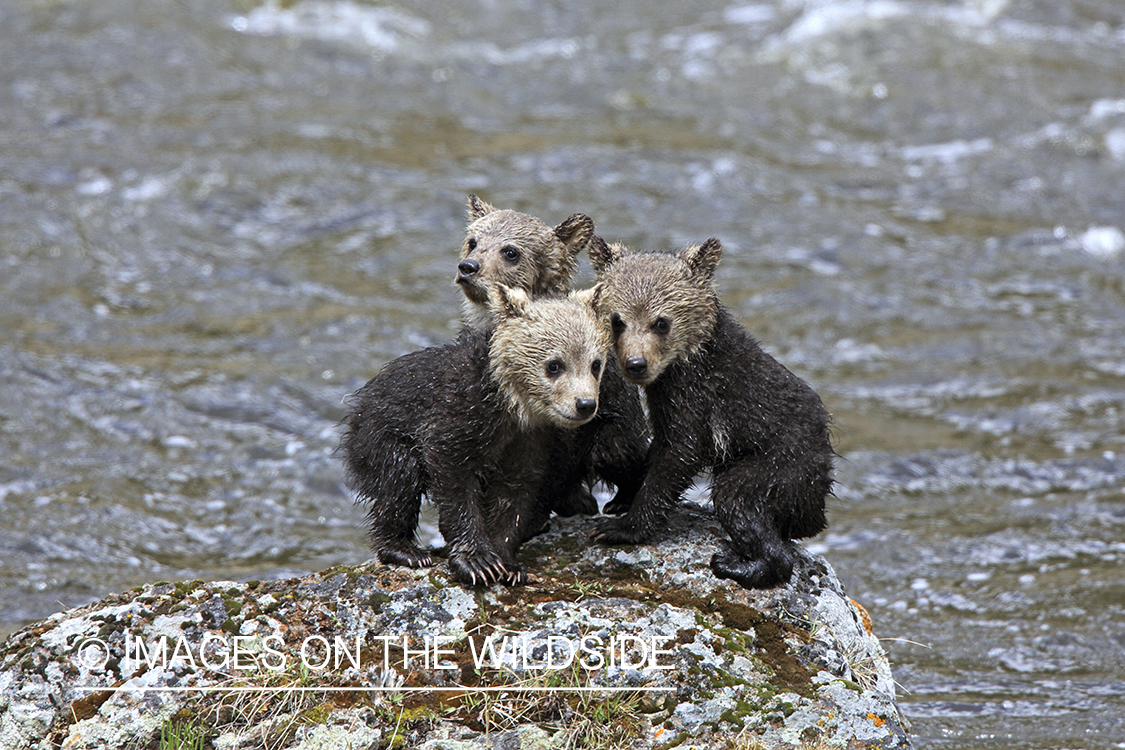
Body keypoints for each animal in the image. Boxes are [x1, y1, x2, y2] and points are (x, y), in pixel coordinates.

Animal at [339, 284, 610, 586]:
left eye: (595, 364)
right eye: (554, 365)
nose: (584, 404)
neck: (512, 406)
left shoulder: (532, 441)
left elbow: (515, 492)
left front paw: (507, 564)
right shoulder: (458, 416)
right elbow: (454, 480)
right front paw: (476, 561)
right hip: (380, 433)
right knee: (399, 479)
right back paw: (405, 550)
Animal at [587, 236, 835, 590]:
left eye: (660, 322)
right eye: (617, 320)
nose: (636, 364)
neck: (686, 358)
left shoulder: (699, 398)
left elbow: (680, 454)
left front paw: (621, 527)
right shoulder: (665, 399)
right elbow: (657, 446)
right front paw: (624, 495)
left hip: (782, 465)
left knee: (738, 498)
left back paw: (735, 564)